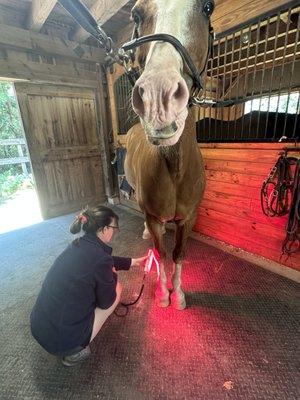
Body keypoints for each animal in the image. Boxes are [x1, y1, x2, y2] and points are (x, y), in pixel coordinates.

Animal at [125, 0, 216, 310]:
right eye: (136, 14)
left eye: (208, 7)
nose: (158, 99)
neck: (174, 169)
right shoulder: (154, 217)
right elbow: (160, 253)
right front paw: (163, 294)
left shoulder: (188, 219)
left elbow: (178, 255)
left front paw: (178, 295)